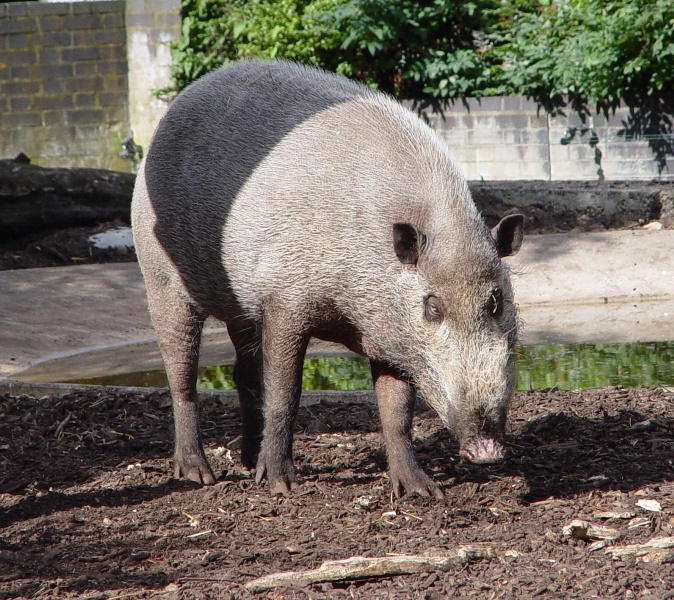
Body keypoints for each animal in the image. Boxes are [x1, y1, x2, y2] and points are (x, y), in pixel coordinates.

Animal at [131, 59, 524, 498]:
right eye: (432, 306)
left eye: (497, 301)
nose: (487, 451)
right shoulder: (284, 300)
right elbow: (285, 392)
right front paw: (281, 485)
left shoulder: (389, 337)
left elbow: (397, 413)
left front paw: (422, 491)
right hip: (160, 279)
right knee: (181, 376)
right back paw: (199, 475)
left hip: (239, 308)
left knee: (242, 374)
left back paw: (247, 462)